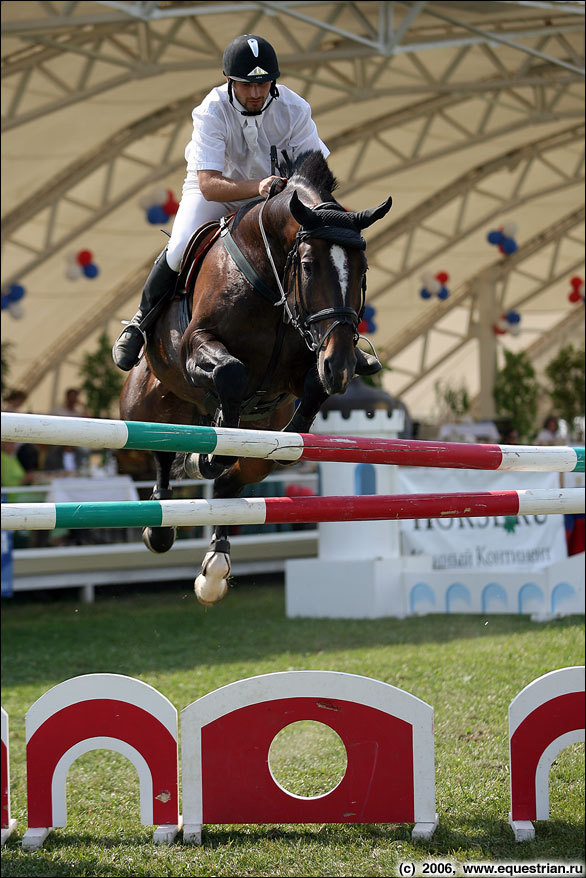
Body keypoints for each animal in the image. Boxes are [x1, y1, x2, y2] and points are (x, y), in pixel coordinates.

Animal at [119, 151, 390, 604]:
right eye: (308, 265)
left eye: (362, 269)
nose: (341, 365)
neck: (268, 276)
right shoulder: (196, 347)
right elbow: (230, 372)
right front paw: (210, 453)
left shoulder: (300, 369)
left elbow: (312, 388)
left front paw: (293, 436)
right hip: (145, 404)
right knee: (161, 450)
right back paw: (164, 521)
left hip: (256, 439)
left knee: (232, 484)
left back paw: (215, 568)